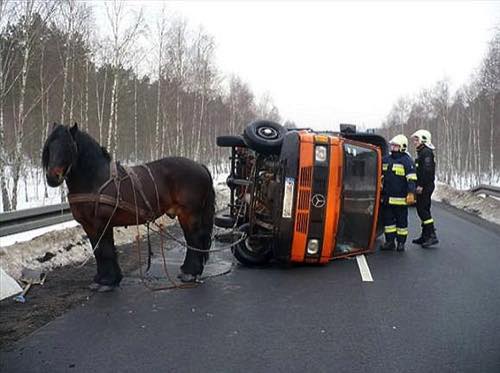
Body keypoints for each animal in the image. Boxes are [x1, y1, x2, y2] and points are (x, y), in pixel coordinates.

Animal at [43, 122, 215, 290]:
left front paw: (108, 281)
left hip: (190, 213)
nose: (52, 177)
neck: (94, 179)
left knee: (194, 239)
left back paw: (190, 273)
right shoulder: (89, 225)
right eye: (49, 147)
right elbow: (98, 251)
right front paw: (102, 279)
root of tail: (200, 166)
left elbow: (105, 250)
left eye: (68, 147)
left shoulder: (101, 223)